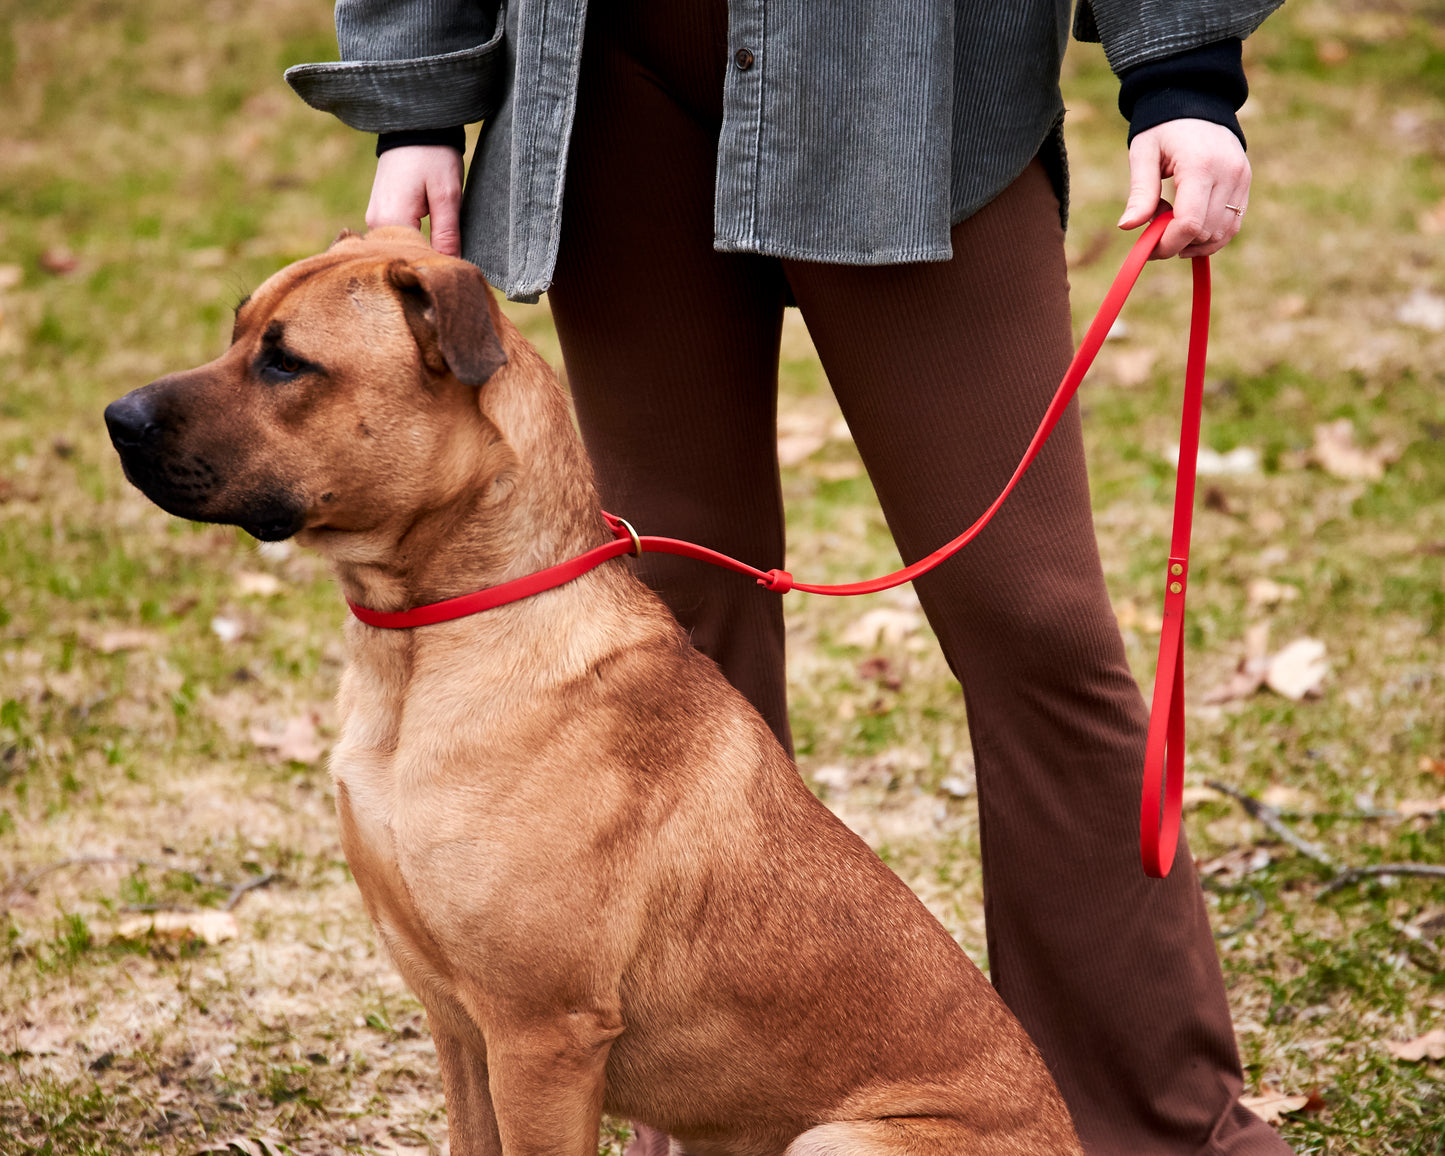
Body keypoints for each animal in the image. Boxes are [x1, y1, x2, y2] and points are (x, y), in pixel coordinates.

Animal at [106, 228, 1086, 1156]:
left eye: (285, 362)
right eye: (238, 332)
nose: (116, 417)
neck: (425, 645)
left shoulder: (542, 1036)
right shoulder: (457, 1025)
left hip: (837, 1135)